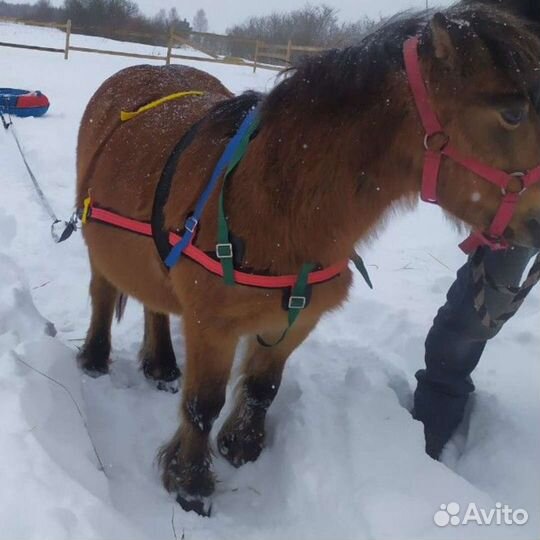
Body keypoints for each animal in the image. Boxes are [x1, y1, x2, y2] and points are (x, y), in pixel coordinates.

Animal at [75, 6, 540, 516]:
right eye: (513, 113)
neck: (274, 202)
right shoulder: (212, 327)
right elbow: (203, 404)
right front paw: (191, 484)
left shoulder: (297, 321)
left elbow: (262, 389)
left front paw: (242, 447)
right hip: (97, 241)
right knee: (103, 291)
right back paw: (95, 356)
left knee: (154, 302)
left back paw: (160, 365)